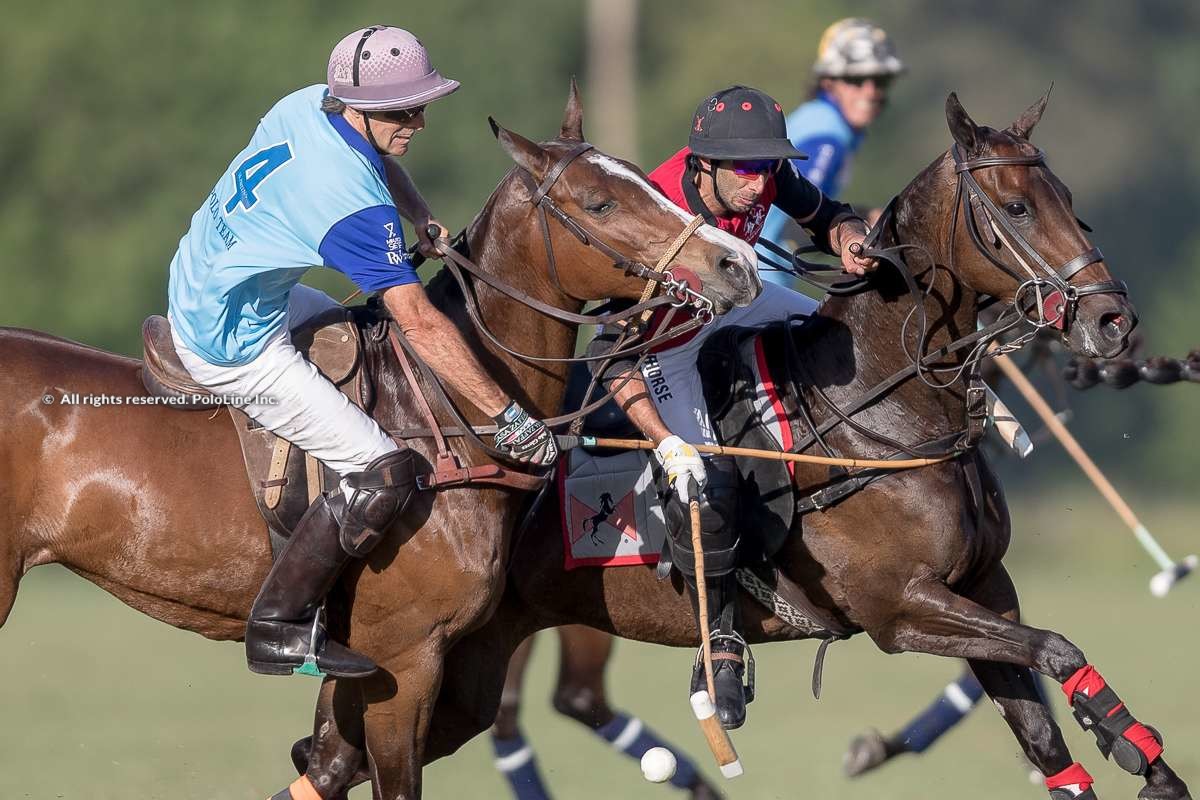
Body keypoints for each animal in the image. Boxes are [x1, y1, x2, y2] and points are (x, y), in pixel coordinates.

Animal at [0, 86, 758, 800]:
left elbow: (326, 762)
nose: (736, 265)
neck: (451, 410)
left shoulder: (371, 665)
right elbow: (391, 779)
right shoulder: (405, 657)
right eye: (599, 203)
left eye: (643, 180)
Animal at [292, 92, 1190, 800]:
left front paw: (1144, 758)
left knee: (331, 758)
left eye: (1067, 195)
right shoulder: (901, 607)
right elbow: (1057, 646)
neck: (883, 410)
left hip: (454, 662)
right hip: (434, 652)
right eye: (1015, 207)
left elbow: (1042, 723)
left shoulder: (984, 587)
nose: (1113, 320)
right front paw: (1136, 750)